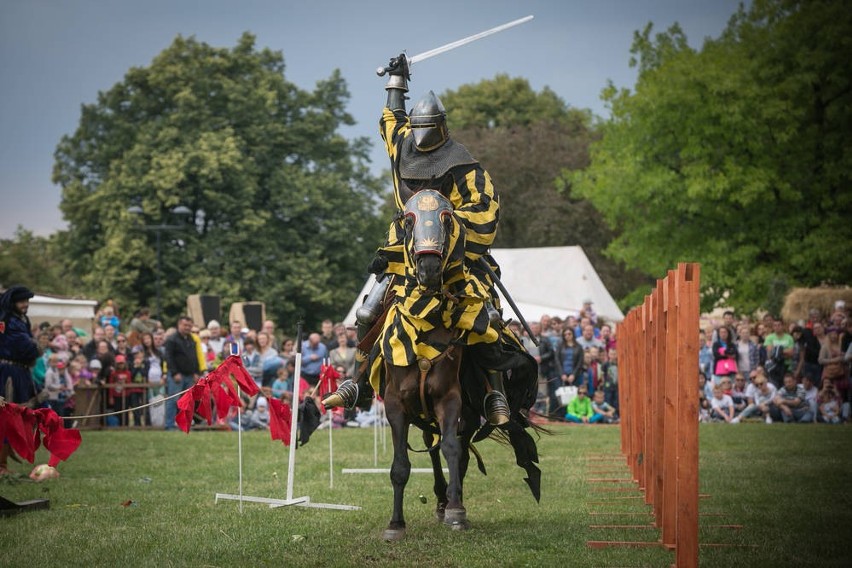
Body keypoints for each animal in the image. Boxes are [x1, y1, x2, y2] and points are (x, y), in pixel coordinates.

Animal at [372, 189, 540, 540]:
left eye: (447, 219)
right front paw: (395, 524)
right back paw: (439, 498)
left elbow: (452, 449)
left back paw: (451, 500)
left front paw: (456, 511)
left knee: (457, 451)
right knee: (431, 447)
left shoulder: (450, 399)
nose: (429, 268)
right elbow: (400, 465)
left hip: (469, 410)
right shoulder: (396, 403)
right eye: (409, 221)